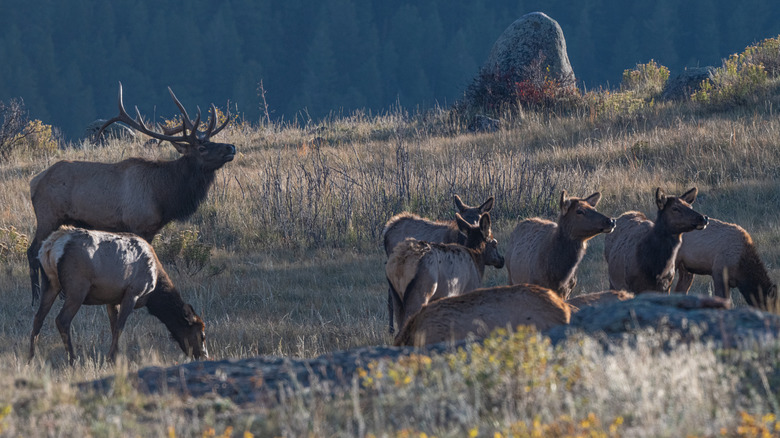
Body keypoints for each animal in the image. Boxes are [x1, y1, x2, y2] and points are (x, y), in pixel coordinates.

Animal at [27, 83, 235, 306]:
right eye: (202, 147)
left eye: (211, 140)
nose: (231, 147)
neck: (164, 195)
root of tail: (34, 182)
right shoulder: (138, 224)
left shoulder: (151, 229)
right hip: (48, 215)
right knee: (33, 251)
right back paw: (35, 297)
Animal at [29, 227, 208, 364]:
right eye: (202, 335)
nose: (204, 356)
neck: (154, 290)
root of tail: (49, 247)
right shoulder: (133, 292)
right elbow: (120, 327)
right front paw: (110, 358)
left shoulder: (112, 299)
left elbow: (114, 326)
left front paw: (117, 357)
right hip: (77, 287)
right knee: (62, 320)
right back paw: (73, 360)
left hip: (50, 284)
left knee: (38, 317)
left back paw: (31, 358)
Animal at [382, 194, 494, 334]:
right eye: (465, 217)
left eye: (478, 218)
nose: (473, 230)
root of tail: (387, 229)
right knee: (391, 297)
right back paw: (391, 329)